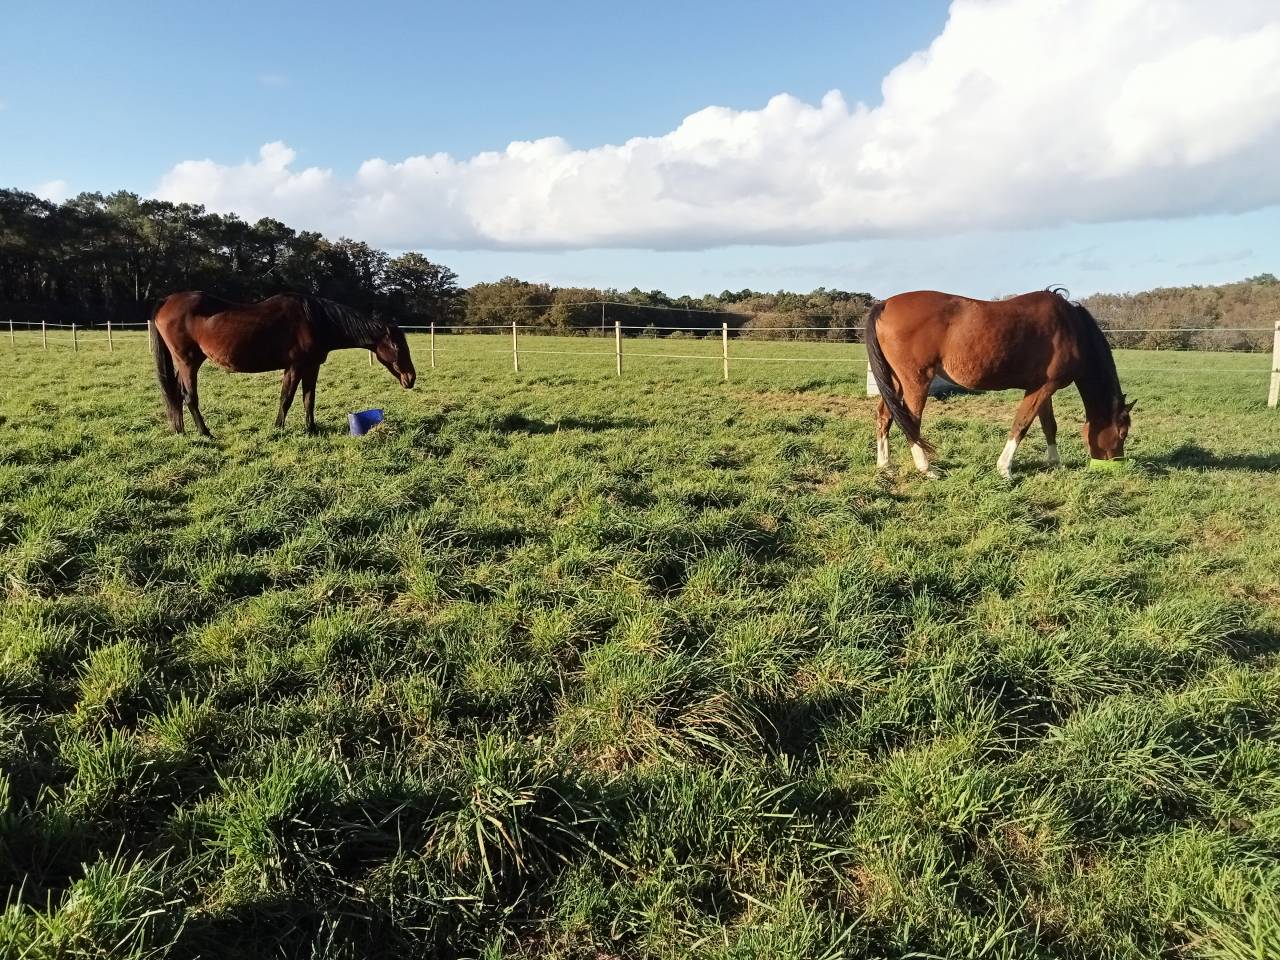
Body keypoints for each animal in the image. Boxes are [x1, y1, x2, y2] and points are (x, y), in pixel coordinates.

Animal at [149, 291, 415, 436]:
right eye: (397, 347)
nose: (411, 378)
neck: (314, 320)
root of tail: (166, 300)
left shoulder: (311, 367)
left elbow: (309, 399)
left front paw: (311, 428)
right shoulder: (294, 367)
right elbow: (286, 398)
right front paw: (278, 428)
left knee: (176, 395)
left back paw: (181, 430)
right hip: (188, 362)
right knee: (189, 397)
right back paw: (205, 433)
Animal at [865, 288, 1133, 479]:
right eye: (1123, 432)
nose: (1115, 463)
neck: (1071, 328)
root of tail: (884, 304)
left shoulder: (1043, 388)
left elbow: (1049, 425)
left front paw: (1055, 463)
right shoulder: (1043, 388)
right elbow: (1021, 424)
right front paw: (1005, 468)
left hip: (895, 382)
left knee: (885, 416)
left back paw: (885, 464)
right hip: (916, 381)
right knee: (911, 422)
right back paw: (926, 468)